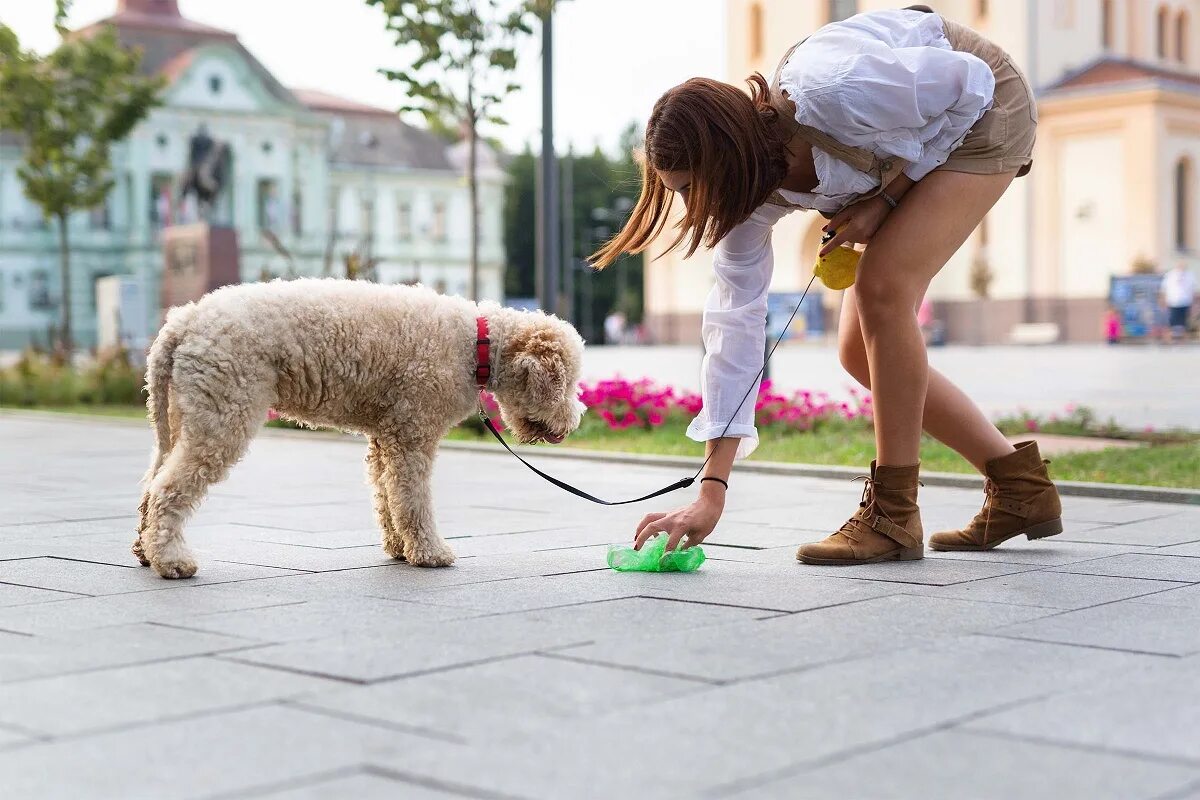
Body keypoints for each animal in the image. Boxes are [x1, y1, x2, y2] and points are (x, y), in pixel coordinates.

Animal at [133, 278, 583, 578]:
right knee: (169, 488)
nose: (574, 422)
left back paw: (145, 550)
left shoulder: (386, 436)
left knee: (151, 483)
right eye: (568, 382)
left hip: (182, 415)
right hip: (223, 413)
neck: (477, 346)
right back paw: (172, 561)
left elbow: (387, 496)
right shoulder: (413, 434)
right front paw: (430, 552)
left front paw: (399, 548)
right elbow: (413, 500)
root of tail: (183, 321)